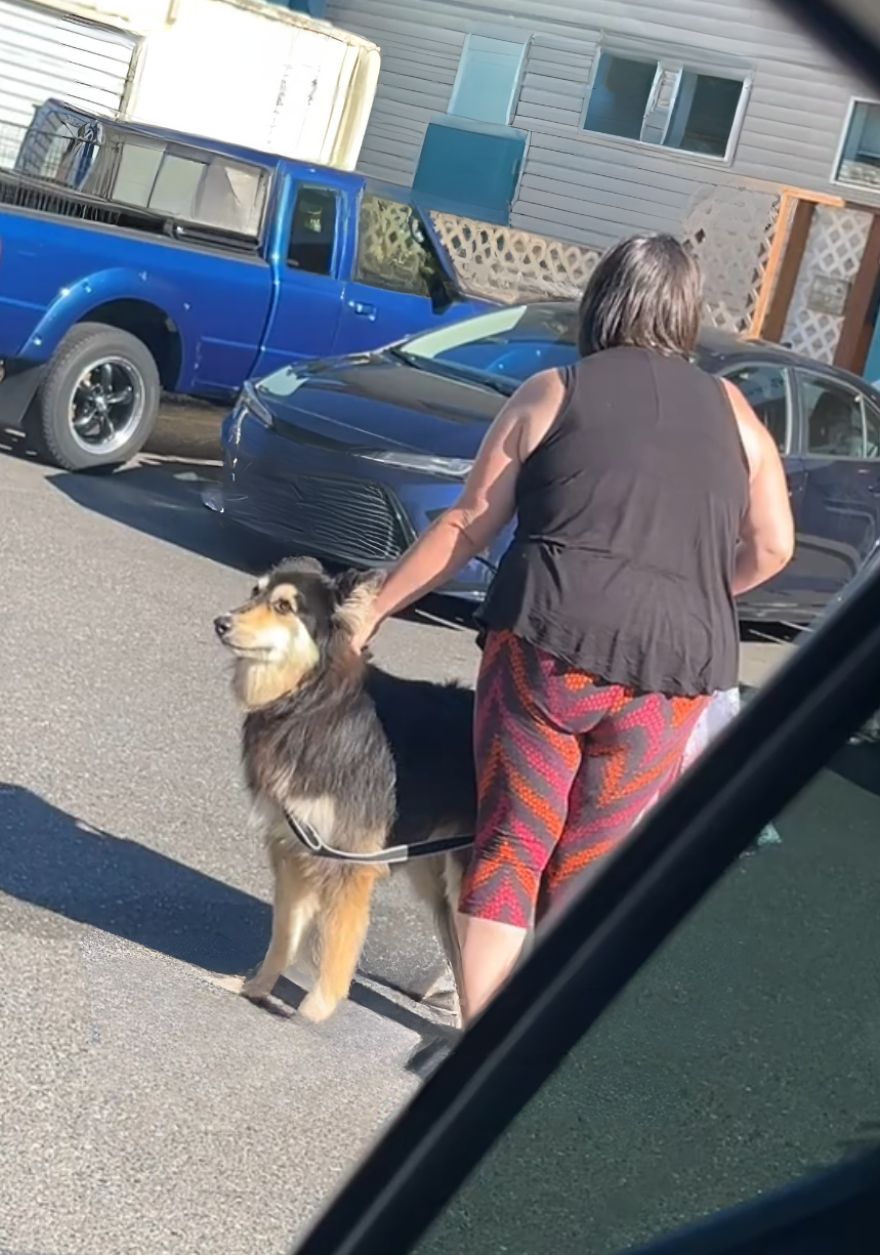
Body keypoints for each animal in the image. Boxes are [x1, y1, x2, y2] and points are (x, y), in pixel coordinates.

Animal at [213, 554, 477, 1024]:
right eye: (255, 592)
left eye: (285, 607)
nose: (221, 623)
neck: (309, 702)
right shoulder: (294, 848)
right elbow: (283, 935)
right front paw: (255, 989)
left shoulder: (350, 862)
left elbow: (338, 946)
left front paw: (313, 1013)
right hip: (440, 882)